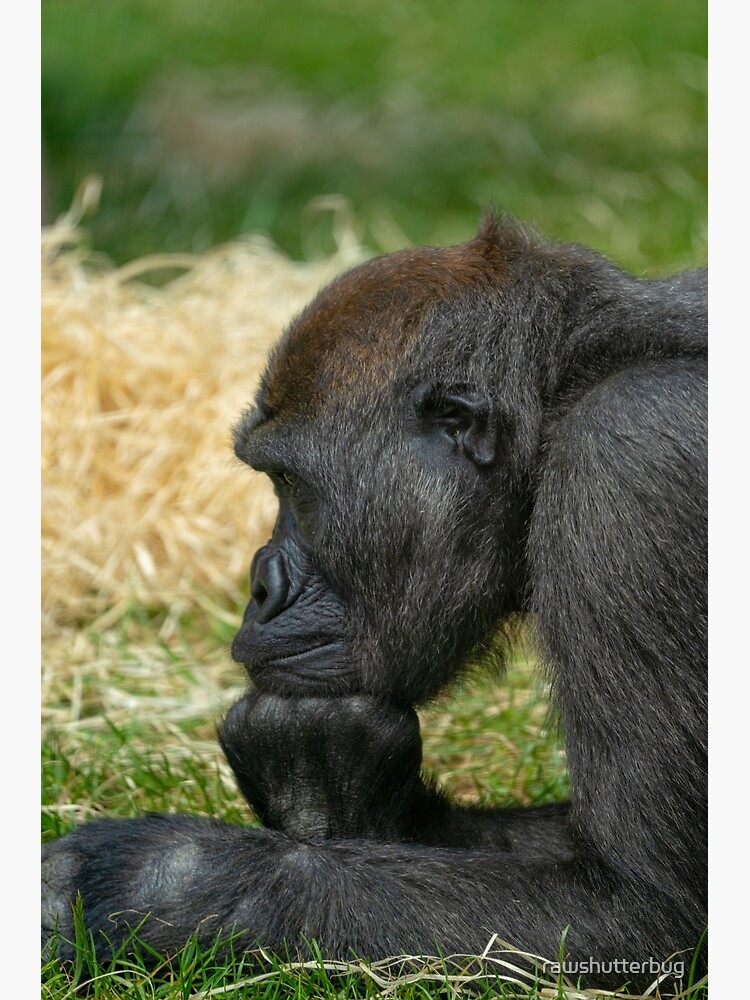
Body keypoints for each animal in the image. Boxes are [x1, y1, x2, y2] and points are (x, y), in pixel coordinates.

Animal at [42, 217, 712, 992]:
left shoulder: (634, 460)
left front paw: (155, 882)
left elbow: (640, 910)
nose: (260, 586)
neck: (563, 391)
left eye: (290, 483)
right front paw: (331, 792)